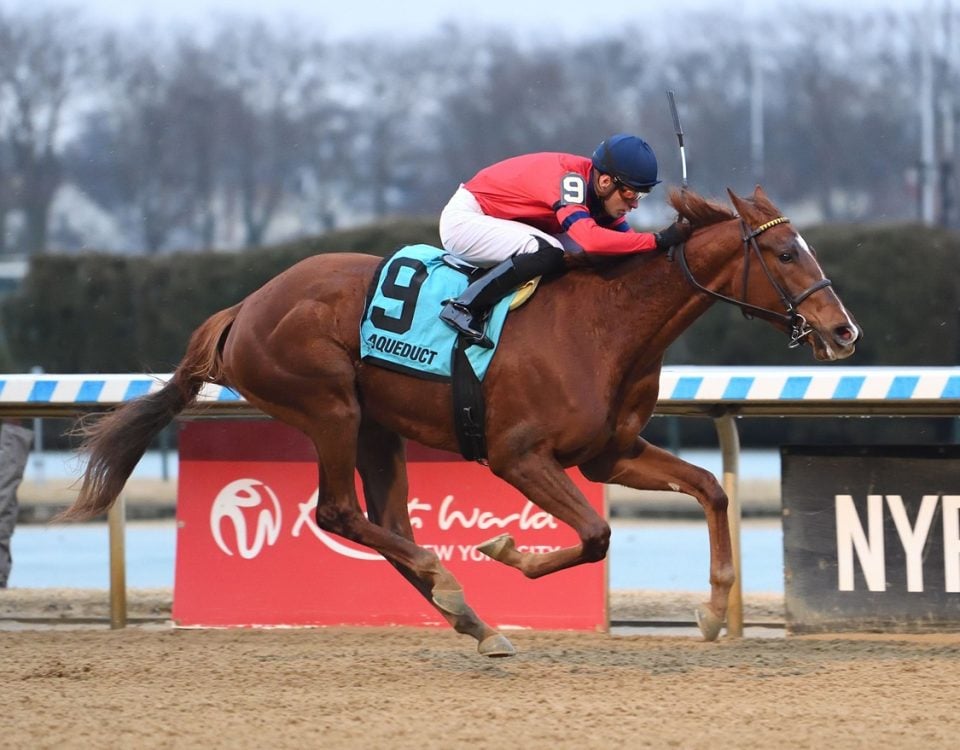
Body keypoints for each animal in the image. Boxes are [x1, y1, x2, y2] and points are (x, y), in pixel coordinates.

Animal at [62, 187, 864, 656]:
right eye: (786, 251)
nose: (844, 331)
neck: (606, 325)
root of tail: (245, 307)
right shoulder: (518, 455)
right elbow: (596, 534)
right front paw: (507, 551)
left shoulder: (609, 453)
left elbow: (711, 488)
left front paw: (712, 609)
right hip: (328, 406)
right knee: (339, 511)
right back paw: (452, 587)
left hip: (377, 426)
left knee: (384, 520)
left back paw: (468, 616)